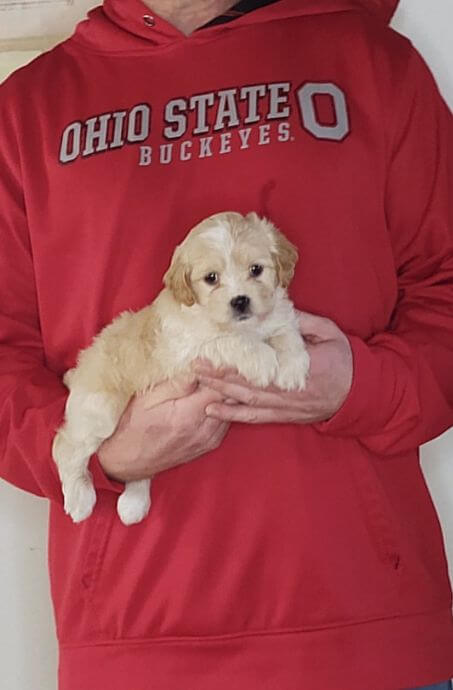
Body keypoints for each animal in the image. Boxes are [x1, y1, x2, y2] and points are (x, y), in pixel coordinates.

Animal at [51, 210, 308, 520]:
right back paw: (80, 500)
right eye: (211, 278)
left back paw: (133, 504)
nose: (240, 301)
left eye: (256, 270)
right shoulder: (192, 349)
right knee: (65, 446)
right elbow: (230, 341)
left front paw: (292, 369)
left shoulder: (278, 315)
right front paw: (263, 359)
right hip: (100, 411)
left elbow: (287, 331)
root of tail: (79, 368)